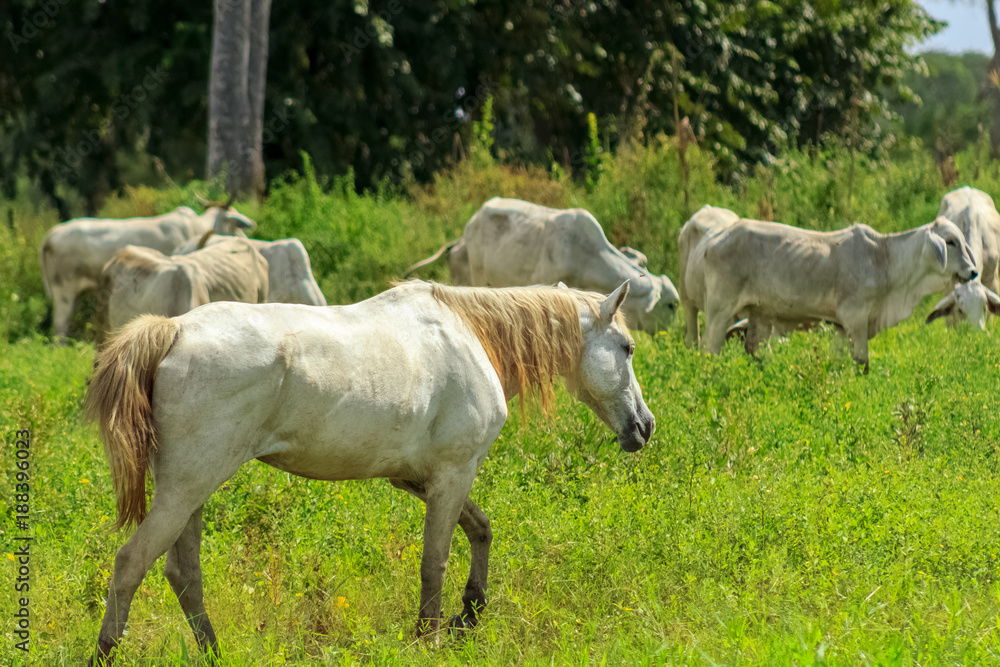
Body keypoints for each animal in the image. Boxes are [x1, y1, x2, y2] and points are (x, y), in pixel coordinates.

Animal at [84, 279, 655, 664]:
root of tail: (174, 329)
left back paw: (214, 653)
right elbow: (435, 561)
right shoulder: (454, 473)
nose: (645, 426)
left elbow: (481, 530)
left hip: (193, 493)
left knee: (184, 575)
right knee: (131, 564)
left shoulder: (418, 479)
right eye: (626, 348)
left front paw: (469, 614)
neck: (469, 335)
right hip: (185, 491)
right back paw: (106, 652)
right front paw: (432, 635)